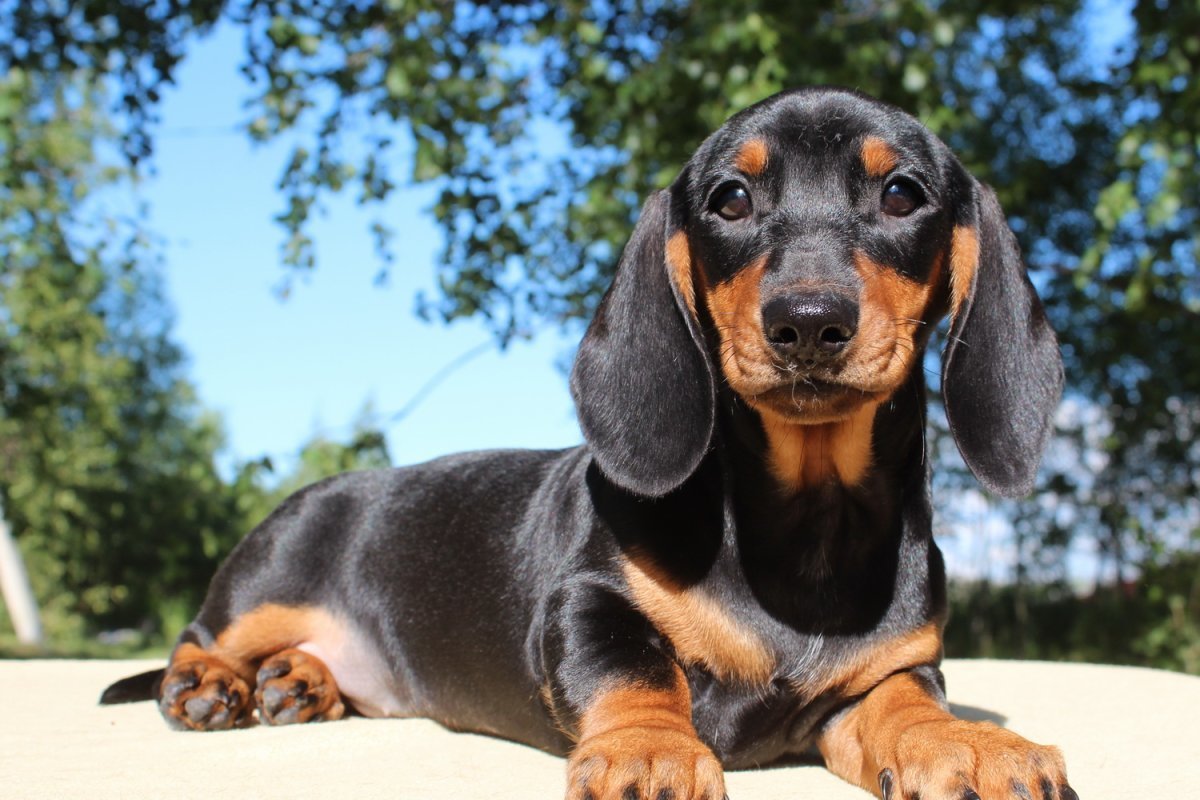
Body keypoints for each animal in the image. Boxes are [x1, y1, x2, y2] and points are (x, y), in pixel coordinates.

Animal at [105, 87, 1080, 800]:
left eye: (902, 193)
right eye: (730, 199)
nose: (808, 322)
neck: (805, 523)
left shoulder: (888, 673)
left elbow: (904, 700)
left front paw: (966, 744)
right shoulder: (585, 605)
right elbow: (637, 672)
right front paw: (653, 752)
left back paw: (301, 683)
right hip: (266, 579)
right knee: (200, 633)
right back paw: (212, 685)